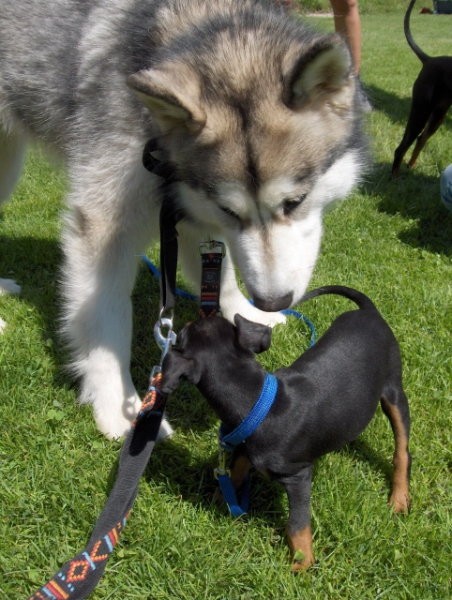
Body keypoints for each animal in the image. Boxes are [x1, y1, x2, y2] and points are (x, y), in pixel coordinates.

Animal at [0, 0, 366, 436]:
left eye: (295, 201)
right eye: (231, 210)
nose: (272, 299)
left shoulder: (188, 203)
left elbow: (219, 275)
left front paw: (247, 311)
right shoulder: (104, 222)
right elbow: (109, 319)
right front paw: (120, 406)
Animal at [161, 284, 412, 568]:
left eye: (182, 334)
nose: (206, 309)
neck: (259, 402)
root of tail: (369, 311)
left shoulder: (299, 475)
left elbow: (296, 524)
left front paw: (302, 562)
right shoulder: (246, 445)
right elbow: (237, 468)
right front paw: (222, 499)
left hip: (394, 391)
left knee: (403, 451)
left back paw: (399, 498)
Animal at [392, 0, 452, 177]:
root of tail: (429, 60)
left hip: (438, 115)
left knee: (421, 139)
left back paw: (411, 165)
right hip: (421, 111)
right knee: (401, 148)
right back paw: (395, 176)